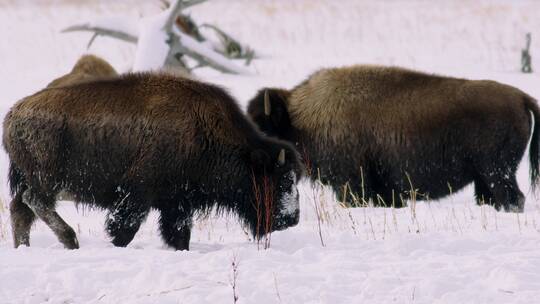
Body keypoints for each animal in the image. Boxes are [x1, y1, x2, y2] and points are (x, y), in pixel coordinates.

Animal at [5, 72, 304, 251]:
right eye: (279, 180)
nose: (292, 219)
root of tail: (12, 115)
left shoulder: (178, 203)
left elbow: (178, 233)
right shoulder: (137, 195)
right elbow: (125, 227)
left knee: (20, 210)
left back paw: (25, 247)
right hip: (47, 180)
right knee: (33, 201)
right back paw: (71, 240)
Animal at [247, 64, 536, 211]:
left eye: (264, 128)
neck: (303, 118)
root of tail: (522, 97)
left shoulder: (350, 182)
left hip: (496, 172)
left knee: (513, 198)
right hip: (485, 178)